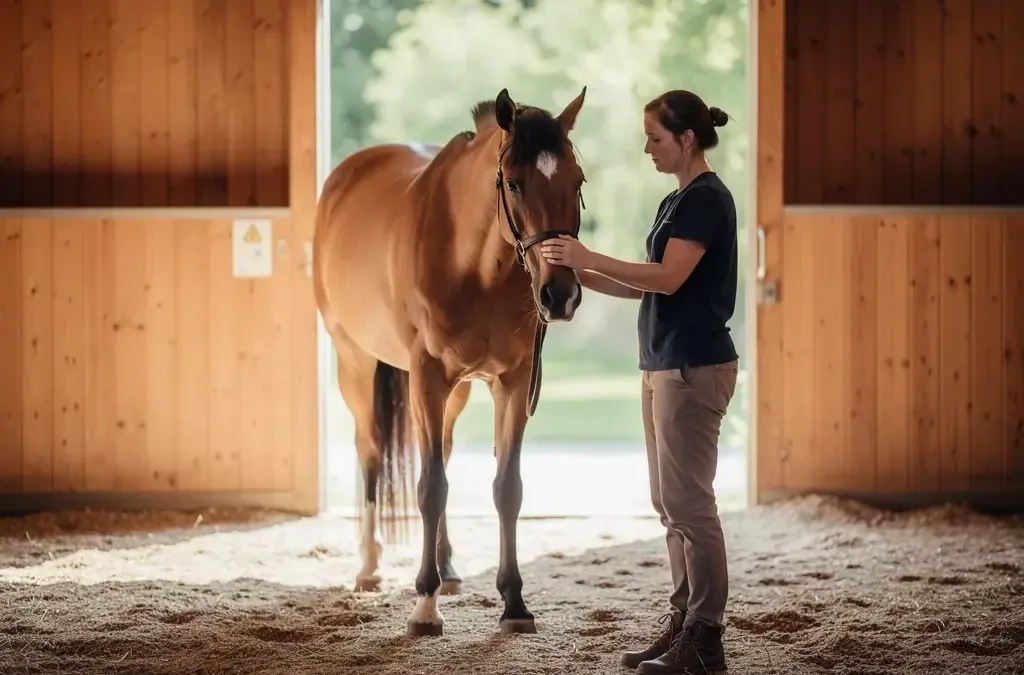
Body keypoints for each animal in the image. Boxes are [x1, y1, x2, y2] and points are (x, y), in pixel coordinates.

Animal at [311, 86, 589, 637]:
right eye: (514, 183)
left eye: (578, 180)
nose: (560, 295)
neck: (475, 264)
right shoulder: (427, 377)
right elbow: (431, 488)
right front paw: (425, 605)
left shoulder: (511, 383)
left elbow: (506, 488)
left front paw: (514, 602)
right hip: (355, 363)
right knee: (371, 451)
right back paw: (370, 566)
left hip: (455, 391)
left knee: (440, 448)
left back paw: (449, 567)